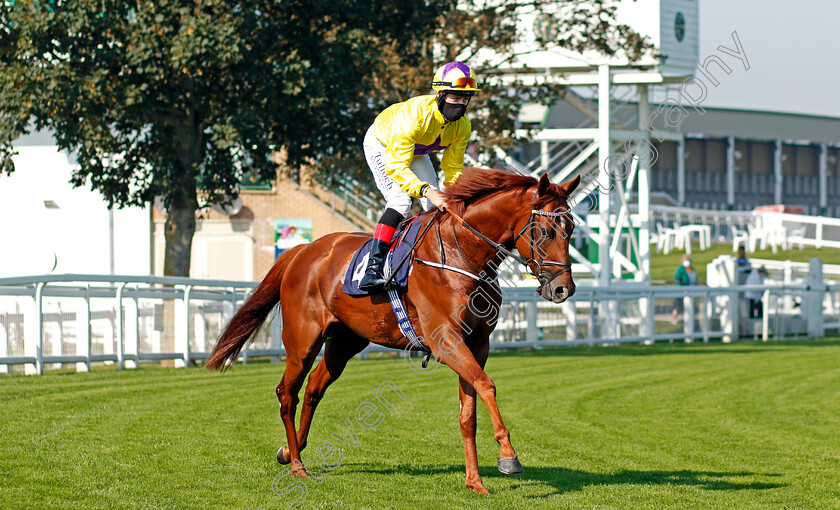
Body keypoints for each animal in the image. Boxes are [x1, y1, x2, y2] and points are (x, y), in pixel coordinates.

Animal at [207, 168, 580, 494]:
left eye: (572, 227)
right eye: (546, 232)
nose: (564, 289)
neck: (462, 256)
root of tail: (303, 250)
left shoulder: (478, 344)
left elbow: (469, 412)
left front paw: (475, 482)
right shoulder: (446, 342)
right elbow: (487, 386)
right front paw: (508, 457)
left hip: (345, 341)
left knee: (313, 388)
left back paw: (290, 450)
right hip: (302, 341)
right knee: (288, 392)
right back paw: (297, 463)